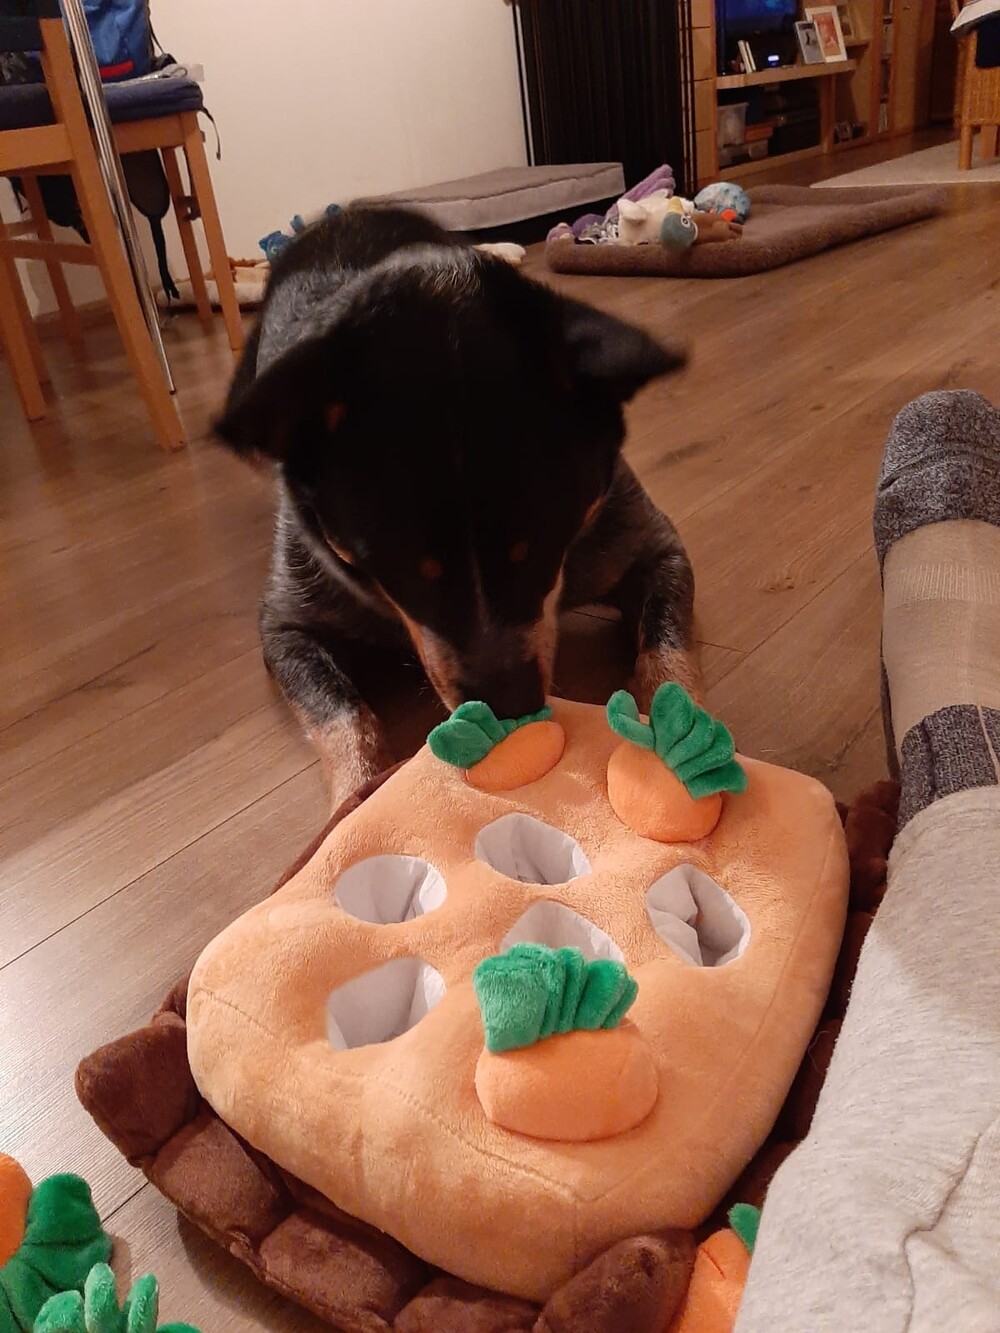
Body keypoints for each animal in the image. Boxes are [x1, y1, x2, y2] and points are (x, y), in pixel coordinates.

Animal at [216, 205, 698, 808]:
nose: (513, 711)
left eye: (545, 550)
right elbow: (340, 714)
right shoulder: (287, 619)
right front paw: (356, 795)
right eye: (406, 576)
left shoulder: (644, 542)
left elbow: (667, 651)